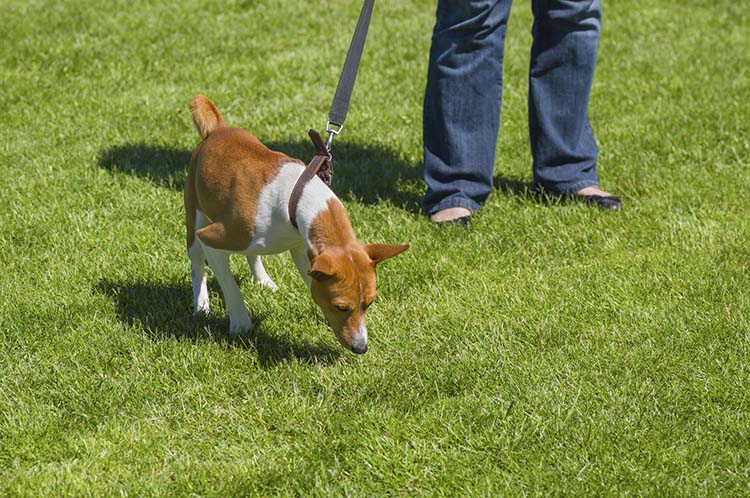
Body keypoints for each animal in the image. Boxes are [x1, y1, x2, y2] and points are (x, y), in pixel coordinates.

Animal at [187, 95, 412, 352]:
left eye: (370, 303)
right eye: (341, 307)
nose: (361, 347)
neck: (296, 196)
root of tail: (218, 130)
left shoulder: (305, 250)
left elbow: (310, 279)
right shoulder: (211, 237)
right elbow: (229, 285)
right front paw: (240, 323)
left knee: (251, 253)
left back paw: (262, 280)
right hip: (195, 220)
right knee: (197, 265)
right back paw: (201, 306)